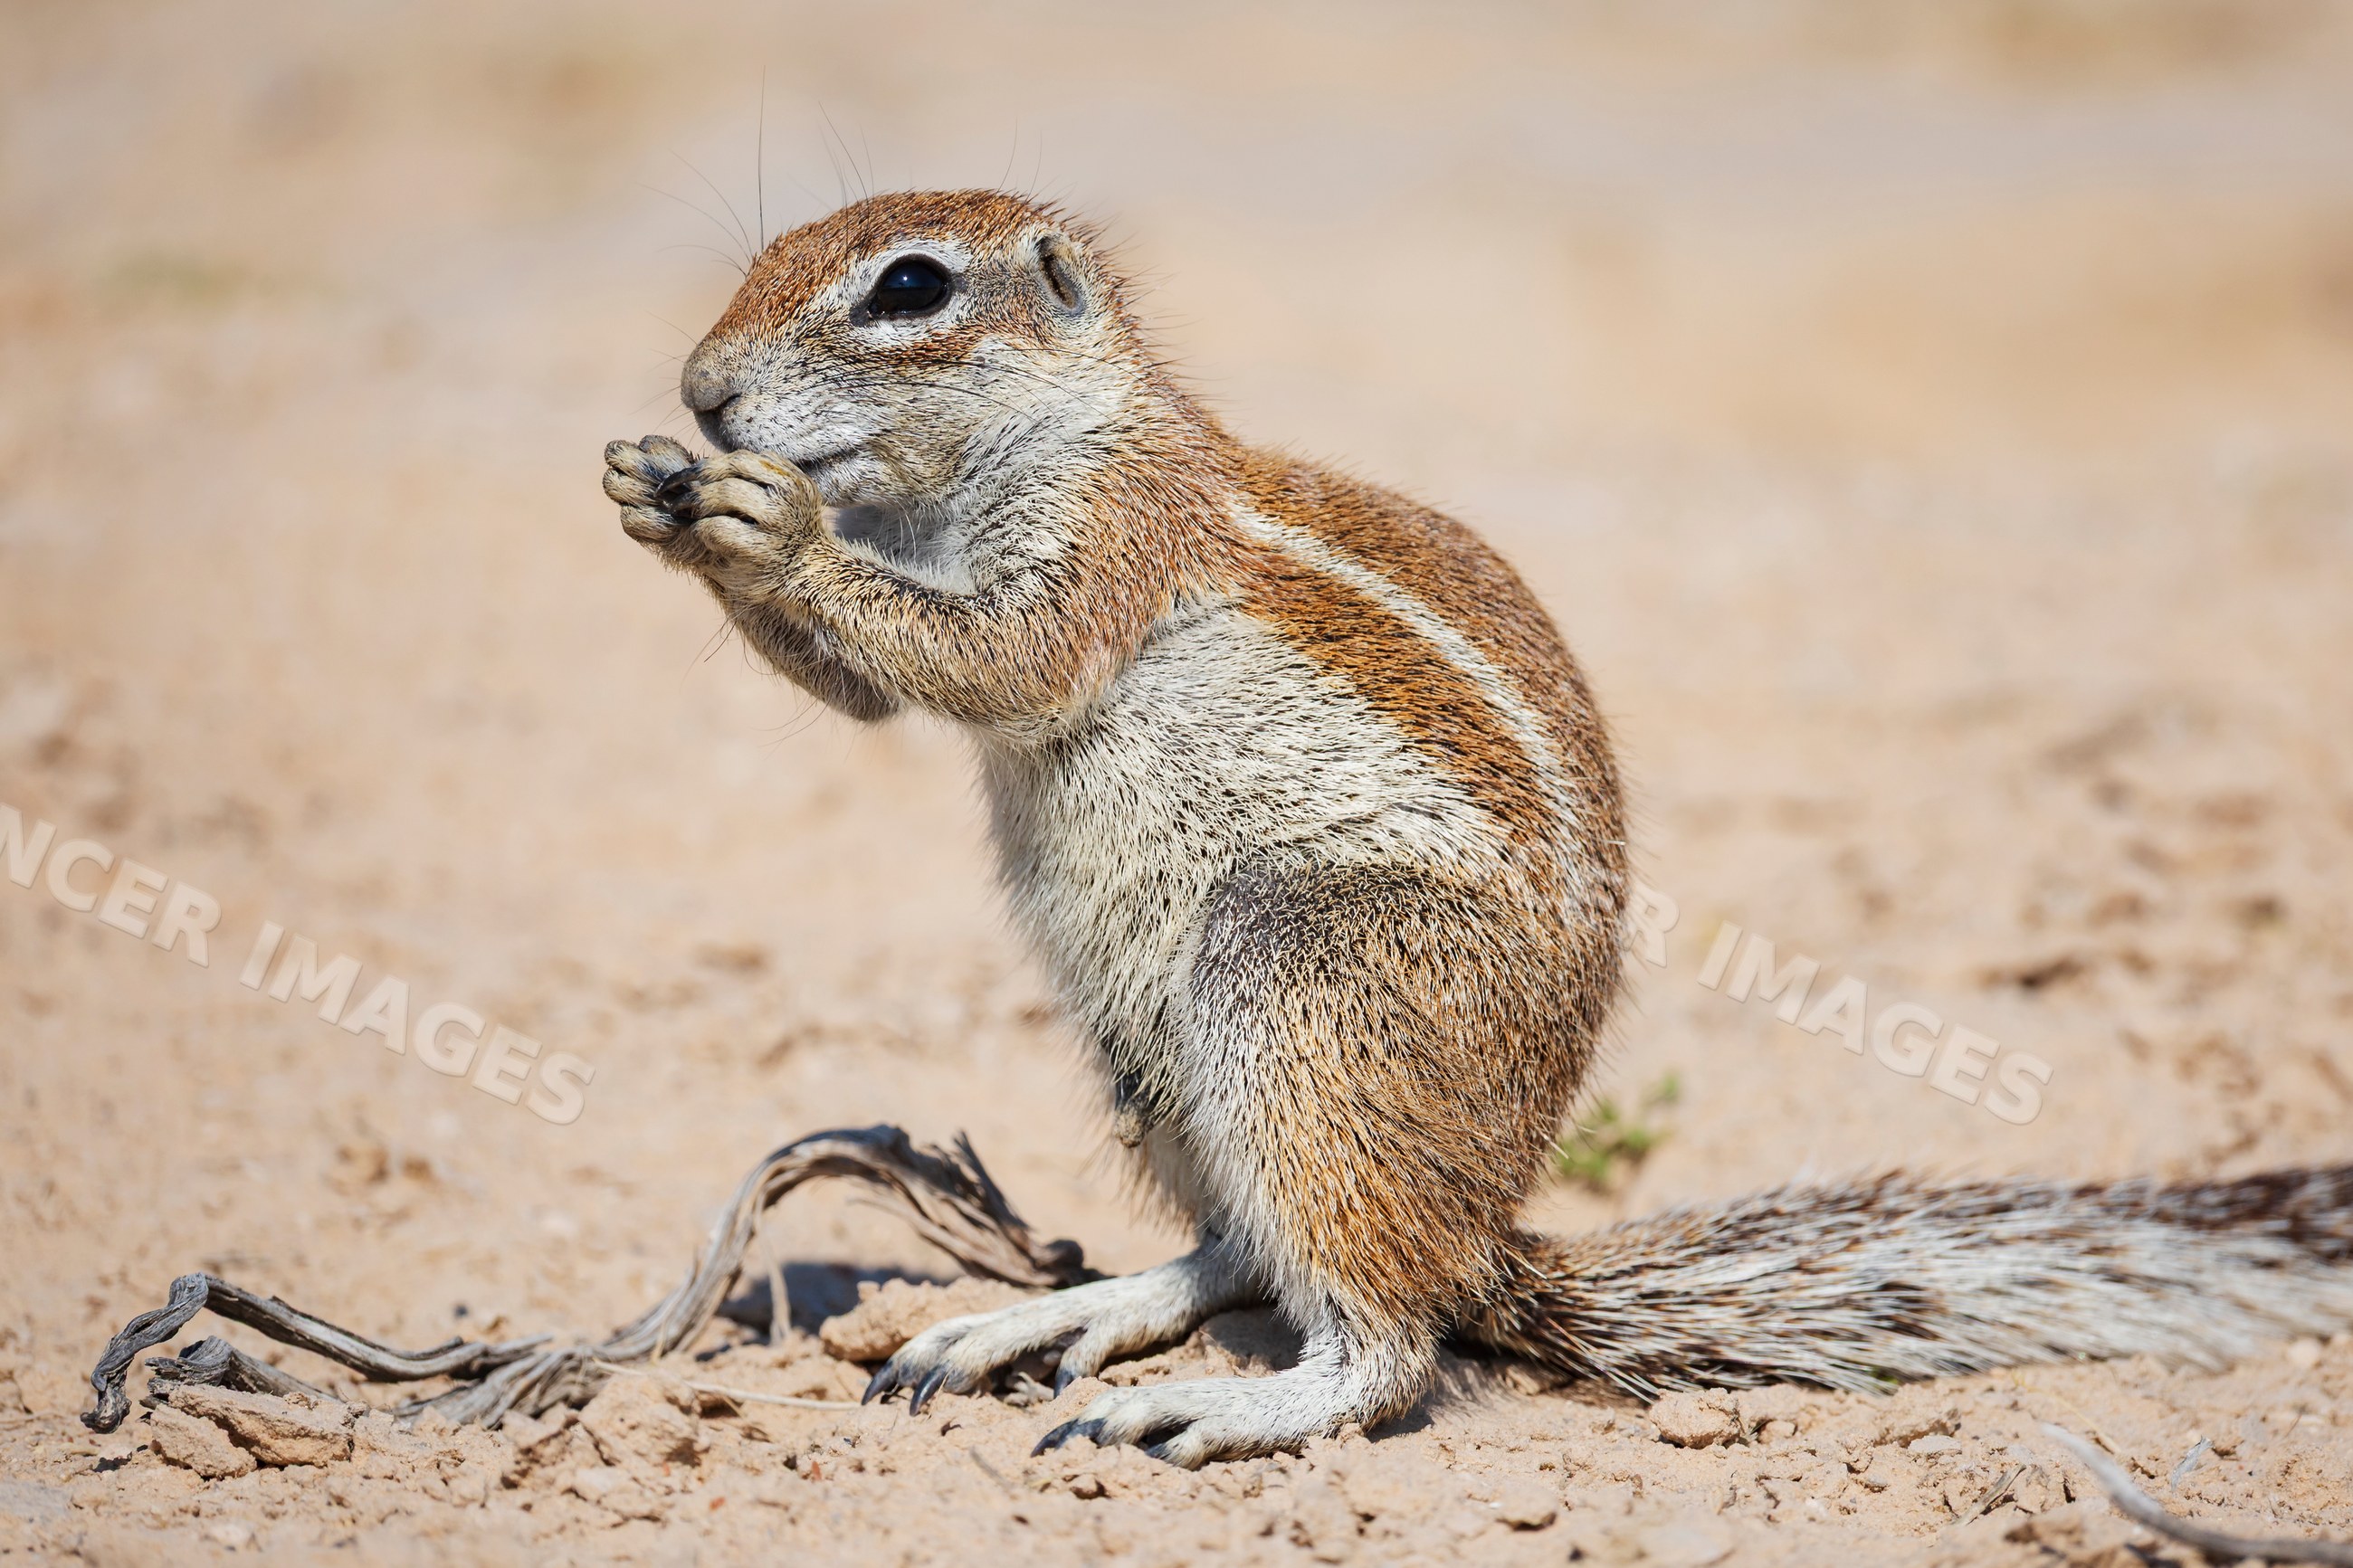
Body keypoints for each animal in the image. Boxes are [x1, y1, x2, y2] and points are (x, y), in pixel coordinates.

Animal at [604, 190, 2353, 1467]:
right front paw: (659, 500)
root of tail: (1487, 1229)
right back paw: (1044, 1318)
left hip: (1295, 974)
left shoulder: (1109, 540)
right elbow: (868, 692)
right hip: (1146, 1049)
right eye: (762, 250)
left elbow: (990, 656)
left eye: (908, 287)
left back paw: (1210, 1399)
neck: (1051, 436)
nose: (701, 392)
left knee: (1384, 1342)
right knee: (1245, 1249)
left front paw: (762, 519)